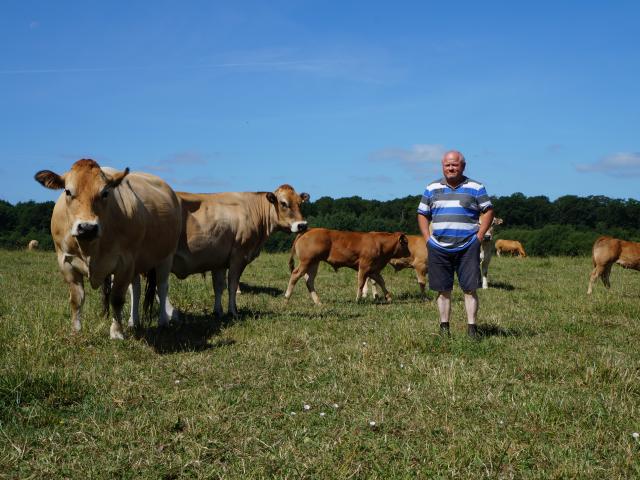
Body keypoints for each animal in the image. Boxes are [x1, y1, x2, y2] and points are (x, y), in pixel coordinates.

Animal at [34, 159, 181, 340]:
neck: (90, 248)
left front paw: (116, 332)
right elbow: (76, 299)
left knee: (162, 287)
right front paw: (76, 331)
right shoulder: (66, 262)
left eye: (105, 193)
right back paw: (133, 321)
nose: (87, 228)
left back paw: (163, 321)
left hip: (165, 257)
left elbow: (116, 299)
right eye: (68, 191)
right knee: (136, 289)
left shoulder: (125, 262)